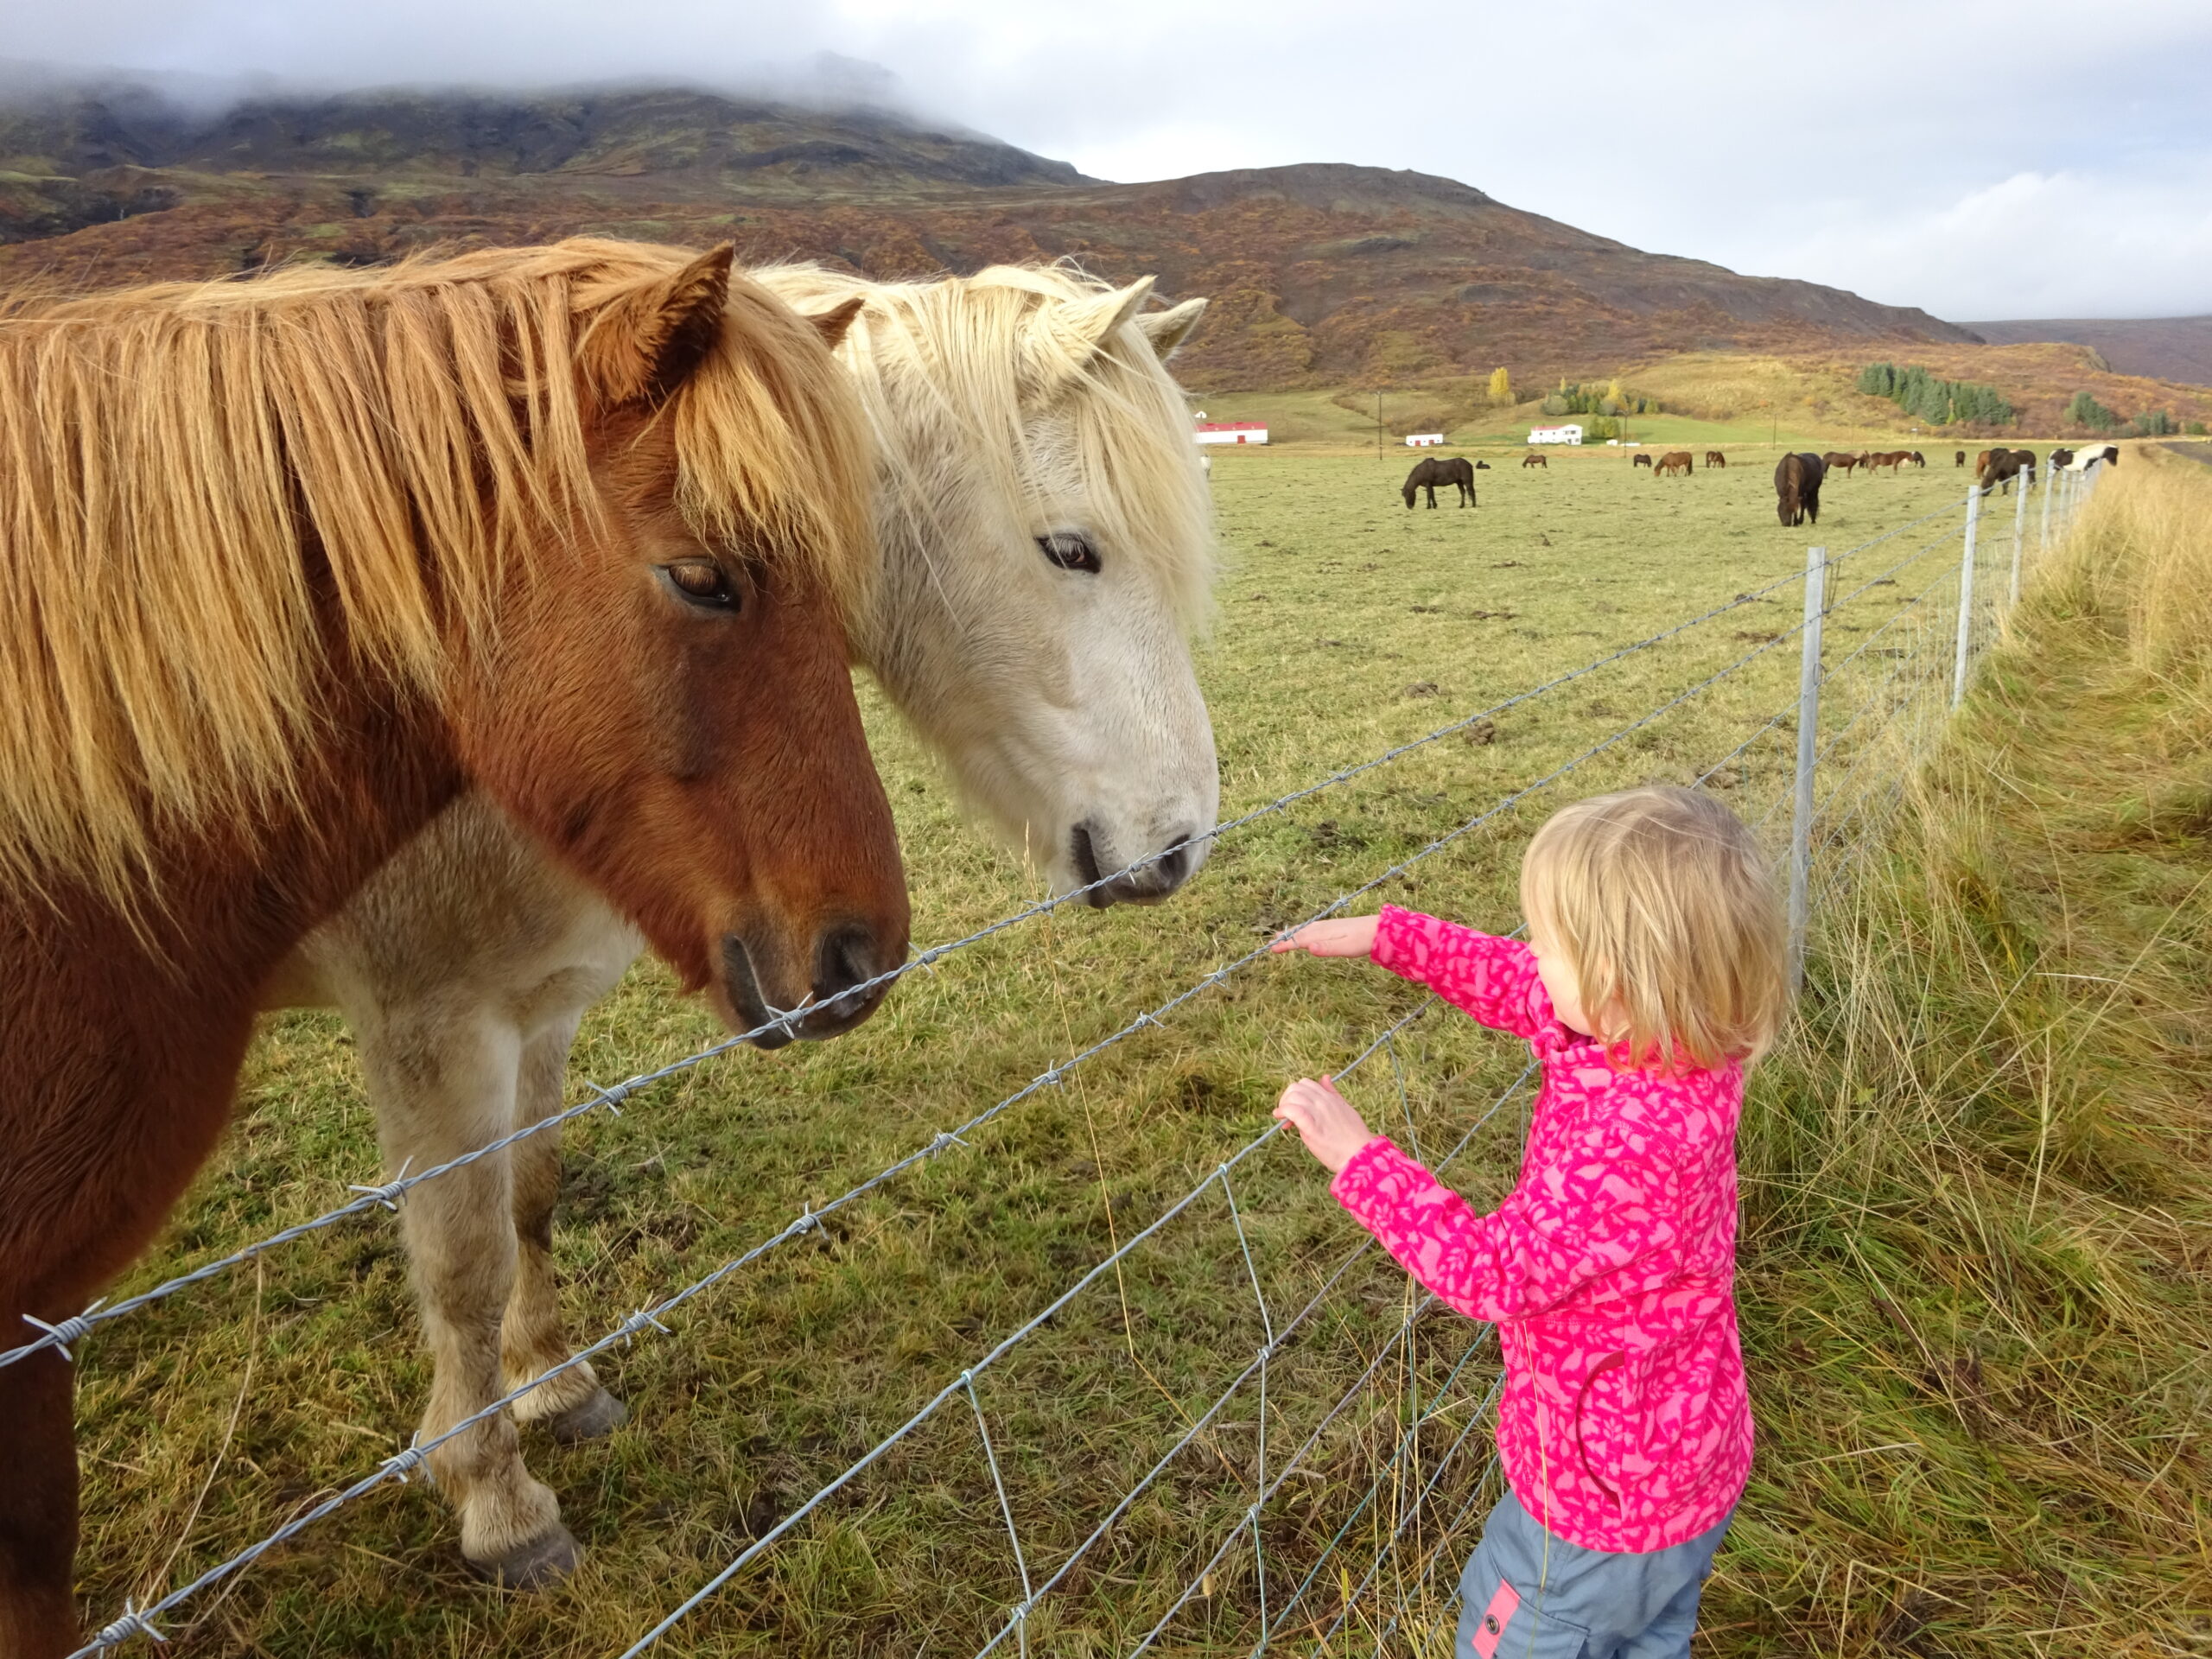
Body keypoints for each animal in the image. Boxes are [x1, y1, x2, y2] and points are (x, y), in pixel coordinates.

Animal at [259, 262, 1222, 1587]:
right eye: (1072, 549)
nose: (1182, 842)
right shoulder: (432, 1027)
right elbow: (461, 1265)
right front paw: (499, 1502)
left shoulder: (542, 1006)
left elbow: (532, 1195)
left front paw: (553, 1386)